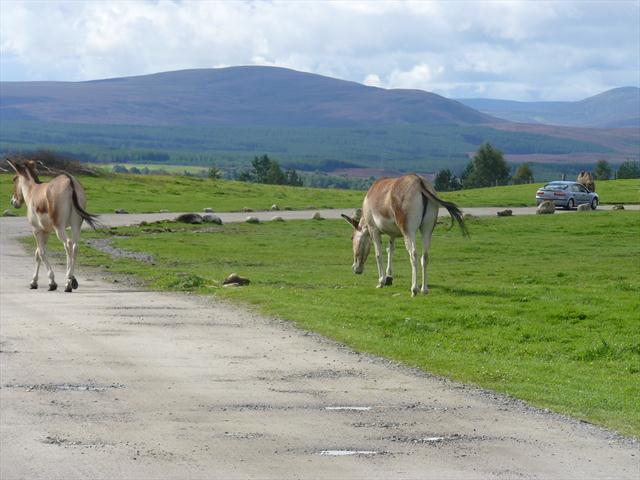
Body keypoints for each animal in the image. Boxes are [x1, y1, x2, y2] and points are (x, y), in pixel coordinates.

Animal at [8, 159, 100, 290]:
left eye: (14, 178)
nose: (13, 201)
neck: (32, 191)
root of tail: (69, 180)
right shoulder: (46, 231)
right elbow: (37, 253)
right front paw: (34, 282)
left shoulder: (36, 230)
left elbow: (41, 253)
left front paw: (52, 282)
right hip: (76, 225)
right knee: (75, 246)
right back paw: (71, 279)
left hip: (59, 228)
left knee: (68, 244)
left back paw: (68, 282)